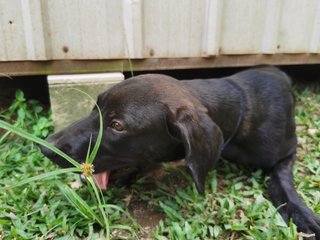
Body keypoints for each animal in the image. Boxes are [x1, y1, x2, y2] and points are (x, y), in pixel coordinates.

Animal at [40, 66, 320, 238]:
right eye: (95, 108)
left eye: (117, 126)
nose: (45, 147)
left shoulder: (285, 151)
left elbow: (282, 180)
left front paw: (301, 213)